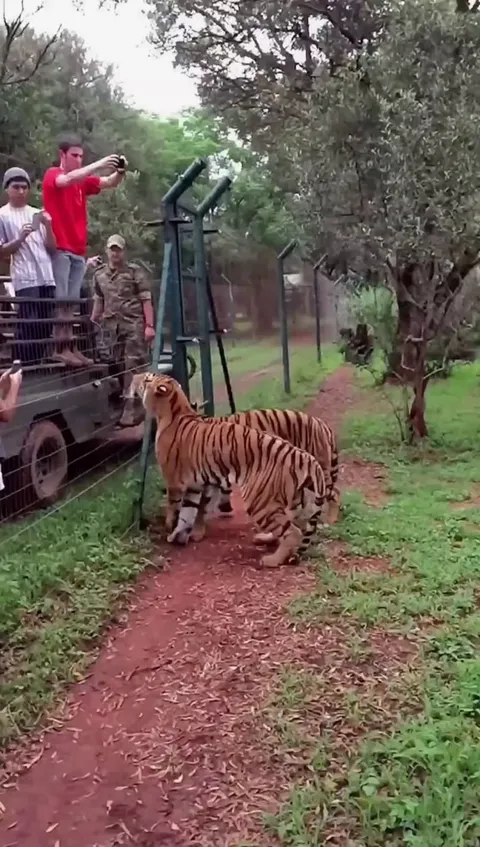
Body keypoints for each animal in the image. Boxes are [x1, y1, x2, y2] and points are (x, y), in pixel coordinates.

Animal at [131, 372, 328, 568]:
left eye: (147, 378)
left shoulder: (174, 482)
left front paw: (170, 530)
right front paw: (179, 535)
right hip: (288, 500)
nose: (134, 376)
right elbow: (188, 512)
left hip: (260, 501)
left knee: (293, 532)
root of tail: (302, 455)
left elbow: (175, 509)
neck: (176, 408)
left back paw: (272, 560)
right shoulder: (195, 486)